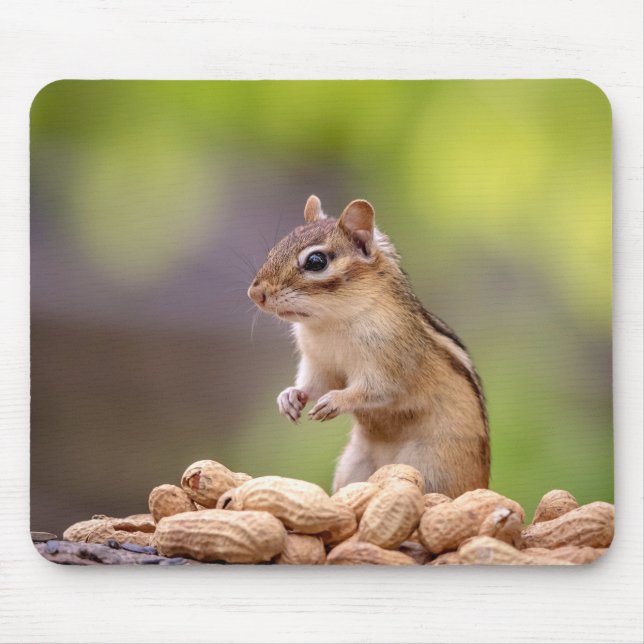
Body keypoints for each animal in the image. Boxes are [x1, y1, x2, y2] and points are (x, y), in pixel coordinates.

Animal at [248, 195, 490, 497]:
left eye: (316, 261)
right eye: (274, 250)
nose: (255, 293)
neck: (331, 323)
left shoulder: (390, 362)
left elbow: (377, 390)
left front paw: (336, 401)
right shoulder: (319, 363)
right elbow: (315, 384)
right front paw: (290, 396)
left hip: (432, 468)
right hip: (353, 466)